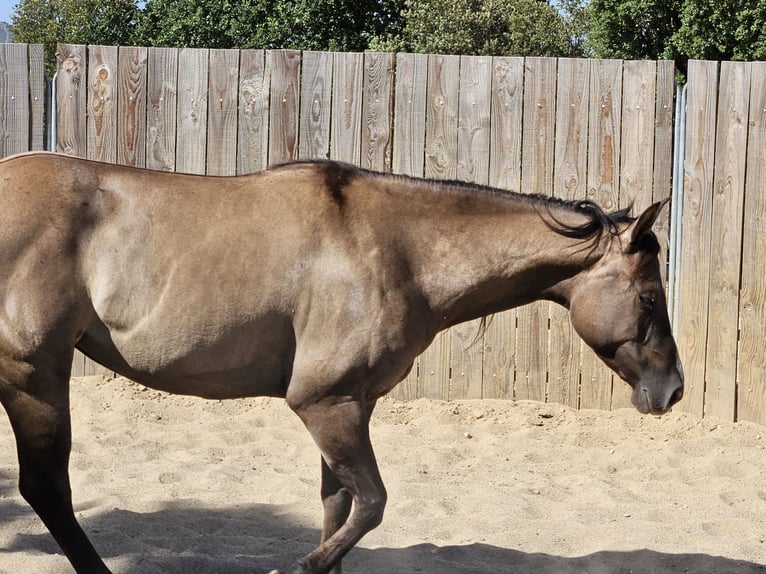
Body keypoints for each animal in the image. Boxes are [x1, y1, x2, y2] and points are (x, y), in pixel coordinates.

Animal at [0, 152, 683, 574]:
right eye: (650, 297)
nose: (672, 390)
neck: (396, 250)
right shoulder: (324, 403)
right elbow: (372, 504)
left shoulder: (349, 404)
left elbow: (337, 507)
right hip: (35, 378)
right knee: (47, 489)